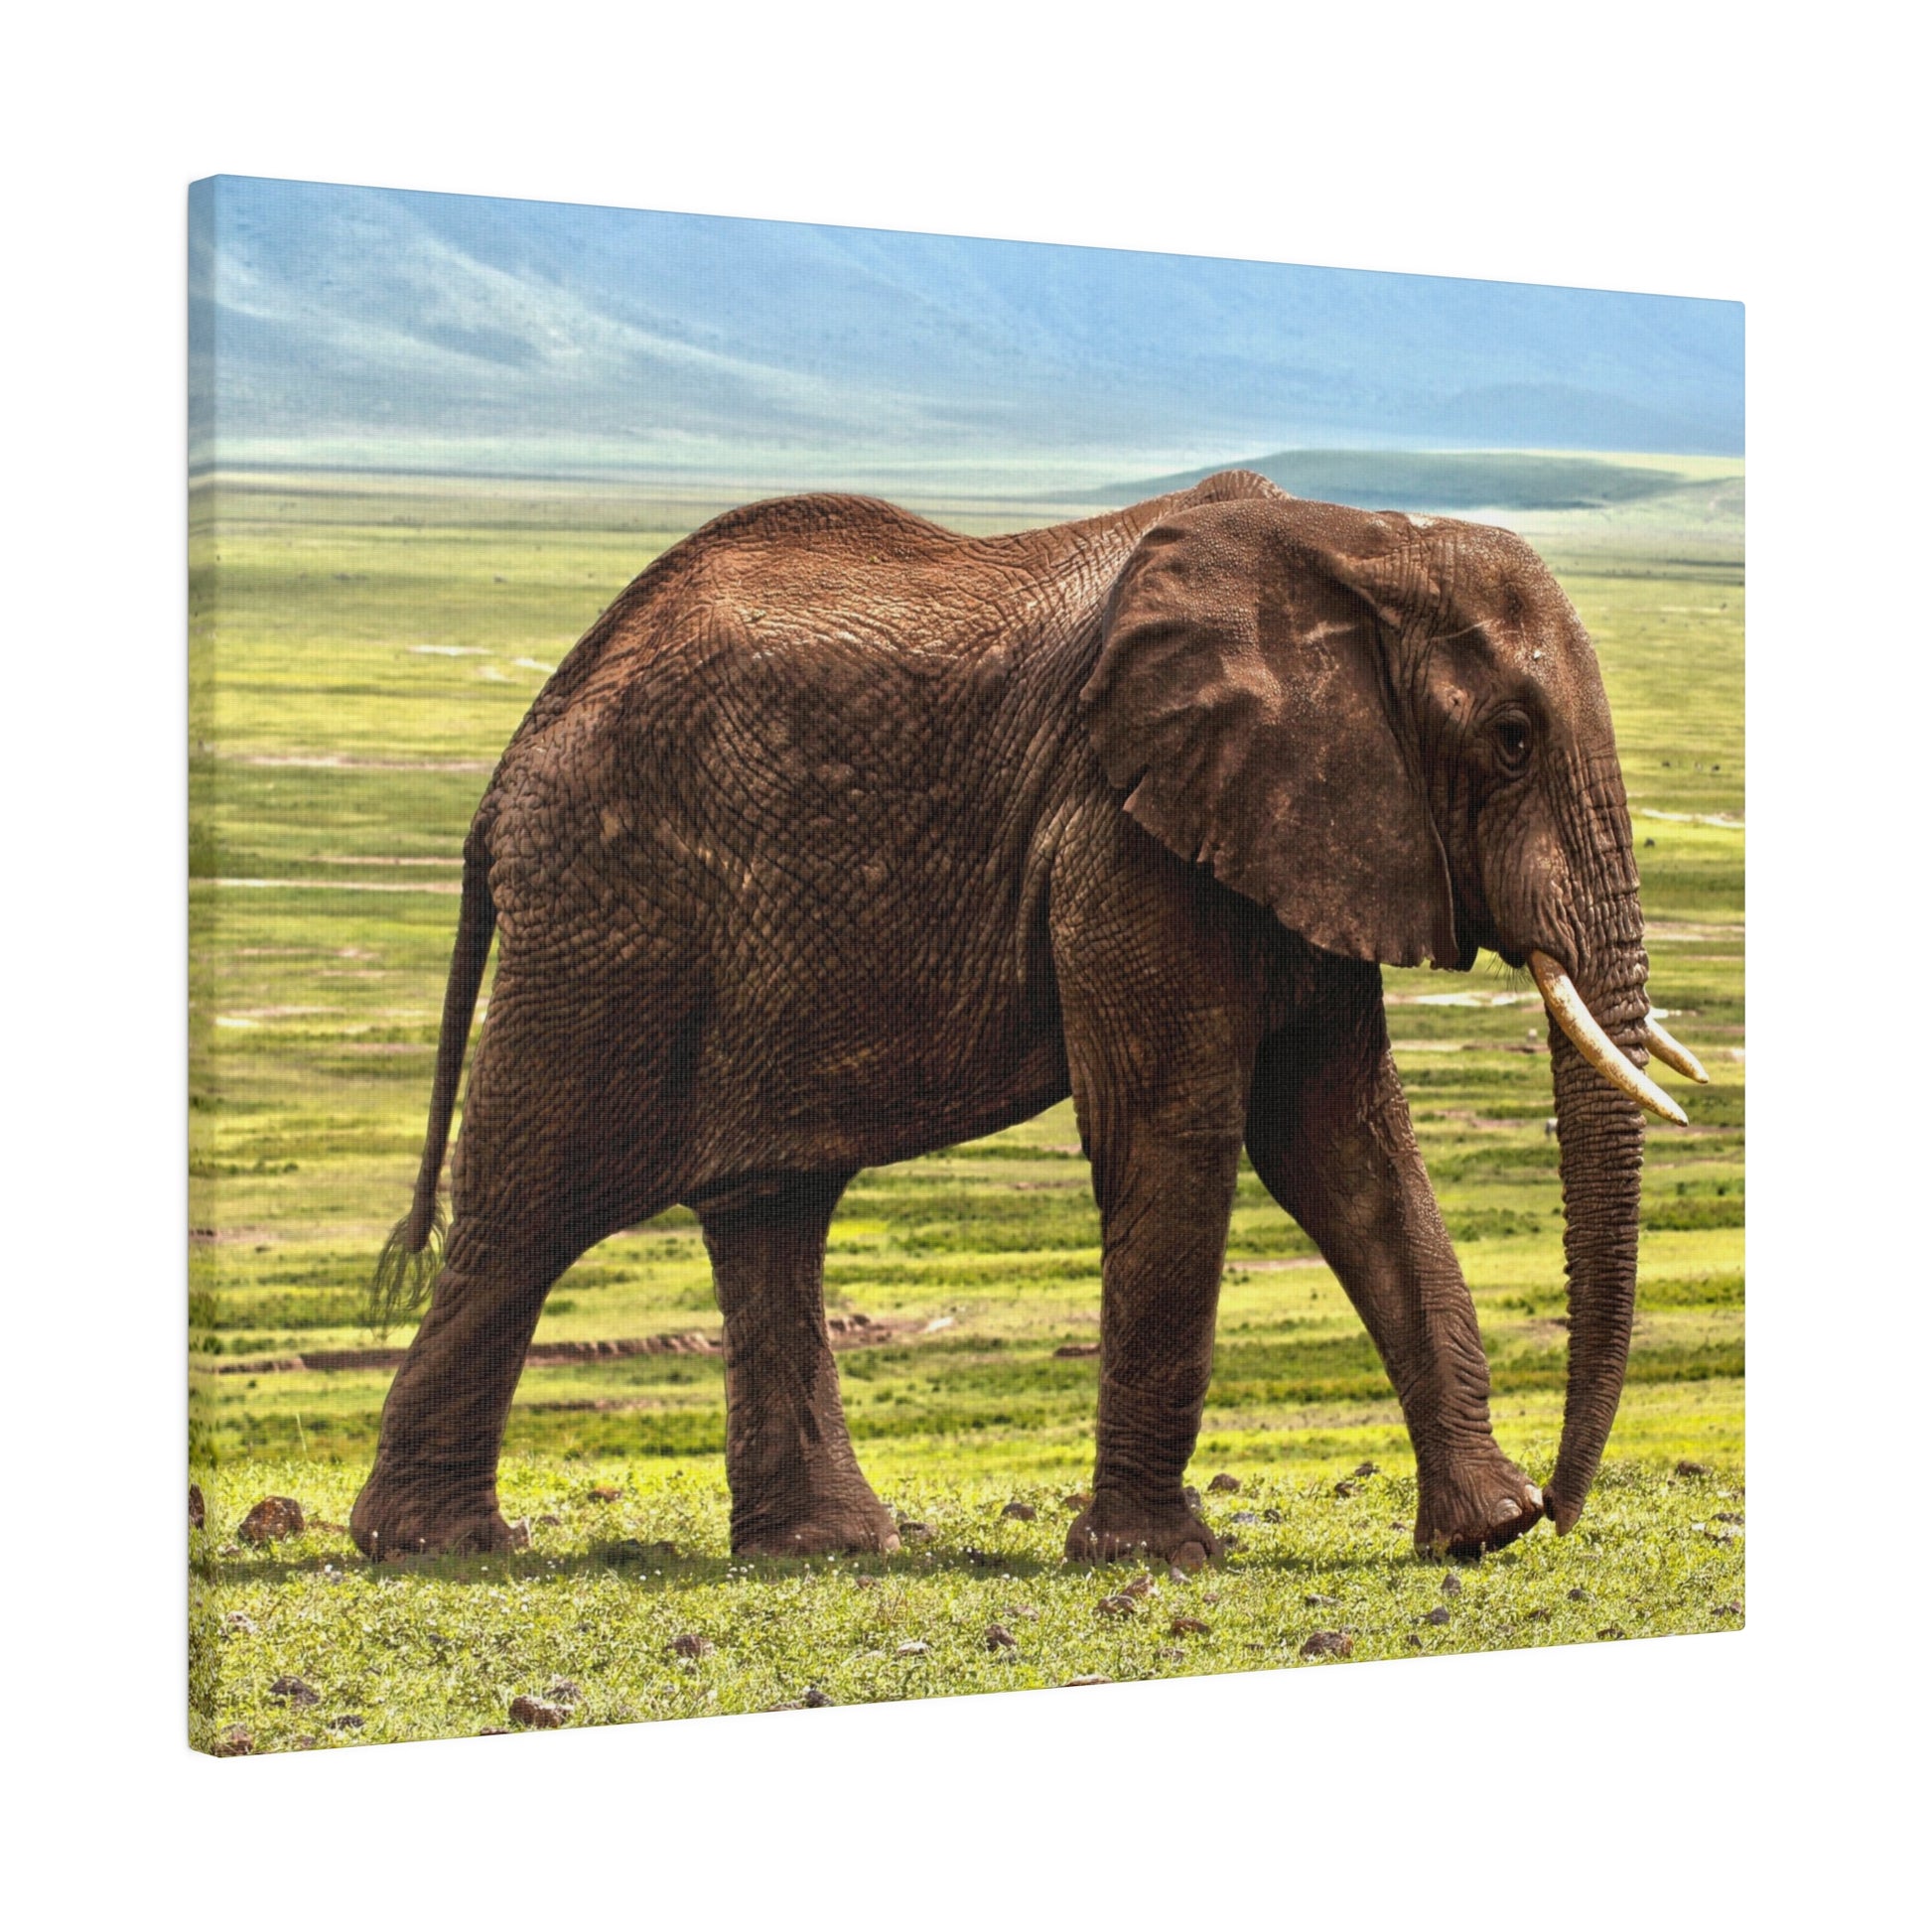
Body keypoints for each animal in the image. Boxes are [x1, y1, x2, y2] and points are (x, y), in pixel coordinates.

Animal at [350, 469, 1707, 1567]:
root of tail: (514, 756)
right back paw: (435, 1545)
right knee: (533, 1204)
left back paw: (825, 1546)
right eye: (1511, 739)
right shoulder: (1124, 833)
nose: (1566, 1508)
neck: (1357, 541)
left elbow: (1344, 1145)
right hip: (611, 916)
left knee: (769, 1206)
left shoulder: (1302, 830)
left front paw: (1484, 1532)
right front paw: (1154, 1556)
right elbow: (1177, 1133)